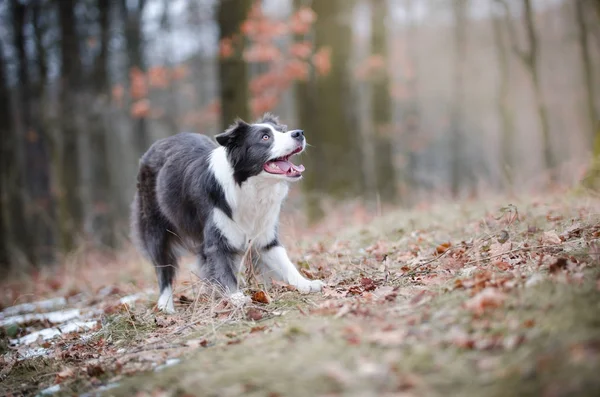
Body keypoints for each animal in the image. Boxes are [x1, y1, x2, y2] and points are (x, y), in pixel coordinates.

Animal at [131, 113, 324, 310]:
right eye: (265, 137)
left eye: (282, 131)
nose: (299, 133)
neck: (249, 186)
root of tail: (157, 144)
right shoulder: (217, 237)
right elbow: (222, 268)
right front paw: (236, 296)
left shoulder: (264, 233)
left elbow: (284, 261)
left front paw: (306, 283)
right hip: (154, 227)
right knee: (163, 266)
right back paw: (166, 304)